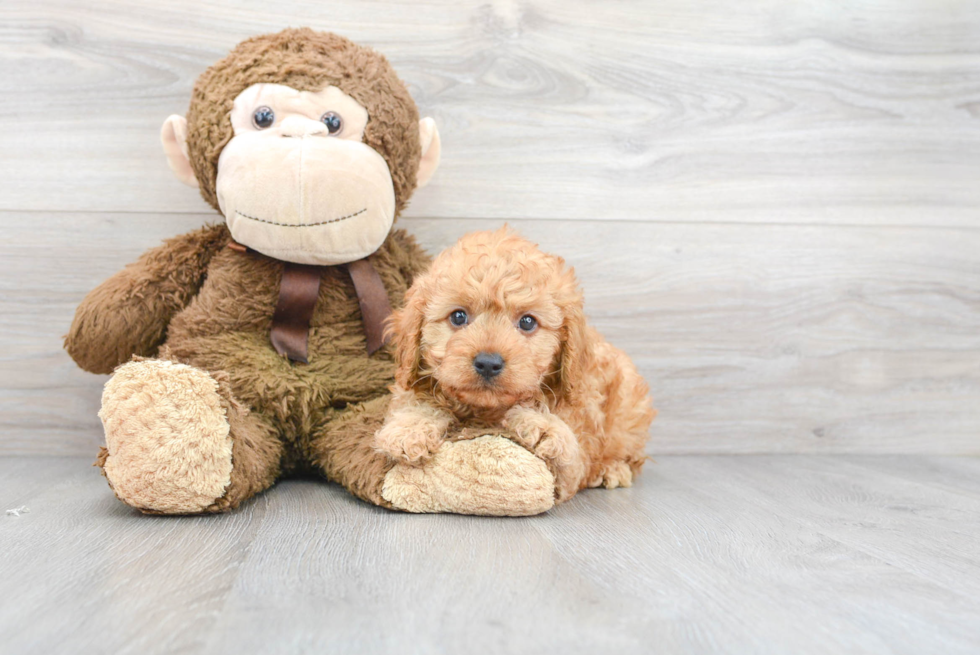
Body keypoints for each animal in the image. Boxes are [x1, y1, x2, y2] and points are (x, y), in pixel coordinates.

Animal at [376, 227, 660, 502]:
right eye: (458, 316)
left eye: (527, 322)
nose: (488, 363)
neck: (486, 411)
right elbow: (418, 401)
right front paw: (409, 427)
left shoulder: (574, 460)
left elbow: (569, 456)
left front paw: (544, 426)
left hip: (629, 407)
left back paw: (613, 468)